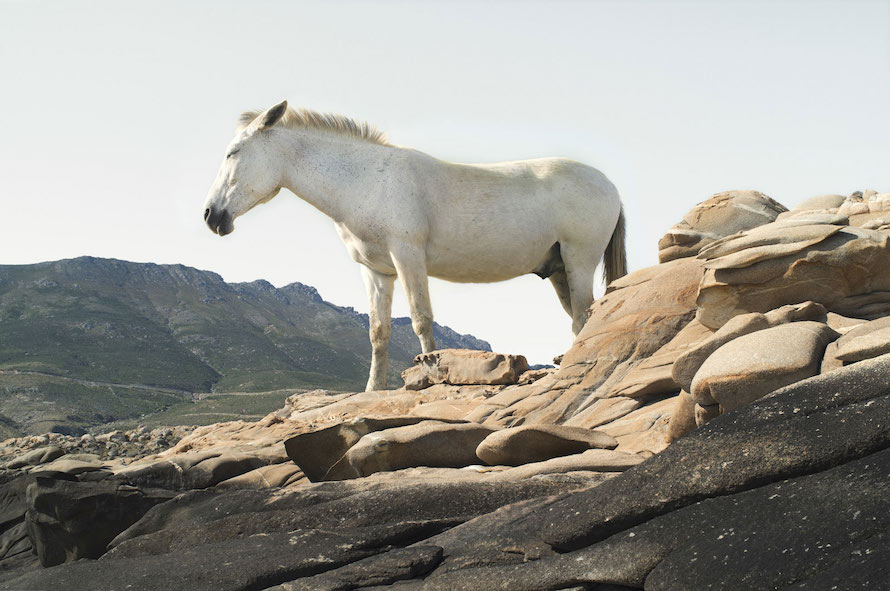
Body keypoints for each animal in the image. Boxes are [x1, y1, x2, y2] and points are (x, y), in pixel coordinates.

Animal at [203, 99, 624, 390]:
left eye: (232, 153)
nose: (211, 215)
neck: (367, 181)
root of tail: (610, 185)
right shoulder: (377, 271)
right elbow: (378, 331)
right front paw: (373, 390)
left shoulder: (408, 257)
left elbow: (421, 318)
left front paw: (430, 375)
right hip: (558, 271)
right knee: (578, 319)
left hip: (579, 262)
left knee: (584, 316)